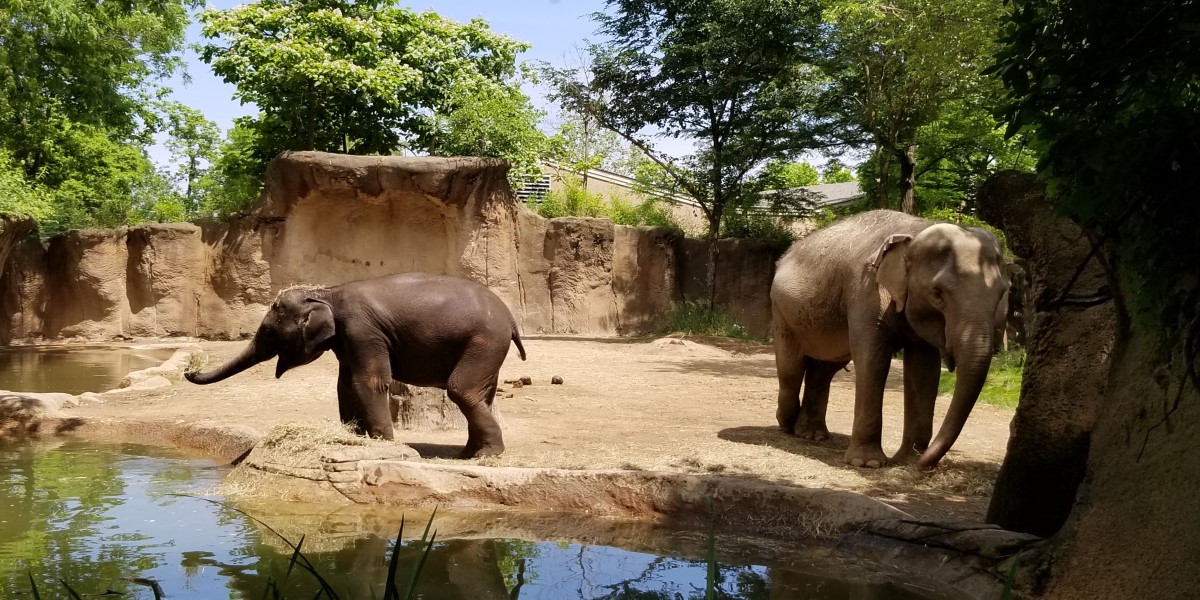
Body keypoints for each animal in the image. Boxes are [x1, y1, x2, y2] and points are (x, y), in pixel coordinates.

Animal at [183, 273, 525, 458]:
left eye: (267, 331)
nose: (189, 368)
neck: (326, 292)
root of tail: (510, 318)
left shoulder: (362, 330)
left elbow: (369, 382)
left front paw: (383, 444)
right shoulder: (346, 340)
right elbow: (344, 385)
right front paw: (354, 437)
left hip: (484, 342)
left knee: (461, 390)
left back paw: (486, 455)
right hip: (487, 348)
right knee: (482, 394)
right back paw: (469, 454)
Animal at [768, 210, 1012, 468]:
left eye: (1001, 294)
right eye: (937, 295)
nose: (924, 462)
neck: (916, 231)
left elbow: (924, 370)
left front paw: (907, 461)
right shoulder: (865, 290)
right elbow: (872, 358)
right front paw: (867, 463)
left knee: (823, 369)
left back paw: (811, 434)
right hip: (781, 312)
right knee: (791, 369)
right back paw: (787, 424)